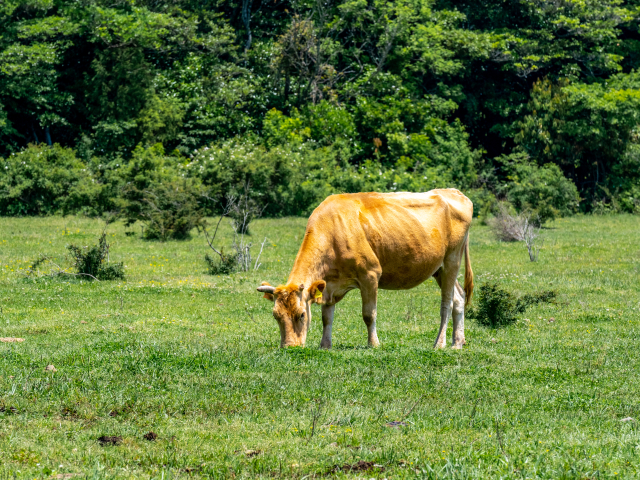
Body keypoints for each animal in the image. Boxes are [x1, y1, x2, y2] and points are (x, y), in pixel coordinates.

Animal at [258, 189, 472, 350]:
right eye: (276, 315)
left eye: (302, 314)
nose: (289, 347)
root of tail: (453, 192)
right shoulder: (328, 284)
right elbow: (327, 318)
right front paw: (325, 345)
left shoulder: (370, 274)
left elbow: (369, 314)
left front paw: (373, 344)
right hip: (438, 269)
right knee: (459, 297)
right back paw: (457, 342)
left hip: (452, 260)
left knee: (446, 303)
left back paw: (440, 343)